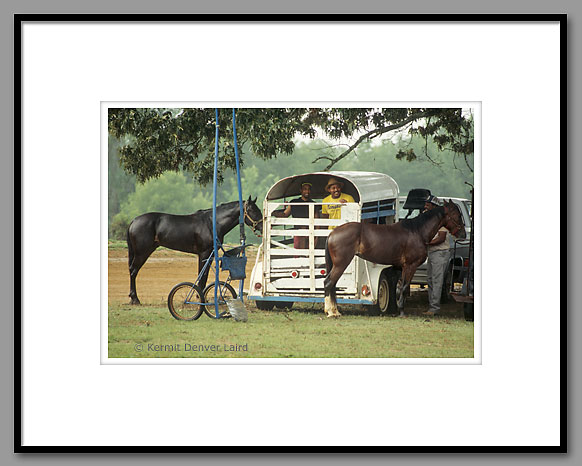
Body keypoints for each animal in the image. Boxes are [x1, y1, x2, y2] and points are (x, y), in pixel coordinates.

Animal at [129, 197, 264, 306]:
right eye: (253, 210)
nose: (263, 227)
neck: (212, 223)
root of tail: (134, 221)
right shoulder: (204, 253)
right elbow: (202, 275)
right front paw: (200, 297)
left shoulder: (210, 254)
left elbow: (204, 274)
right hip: (142, 253)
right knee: (133, 271)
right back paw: (135, 299)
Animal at [326, 198, 468, 318]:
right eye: (457, 215)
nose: (463, 234)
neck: (417, 231)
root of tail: (333, 233)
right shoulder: (410, 266)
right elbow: (404, 287)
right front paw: (401, 312)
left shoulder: (404, 267)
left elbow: (402, 287)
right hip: (341, 264)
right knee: (329, 283)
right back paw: (332, 312)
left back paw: (333, 311)